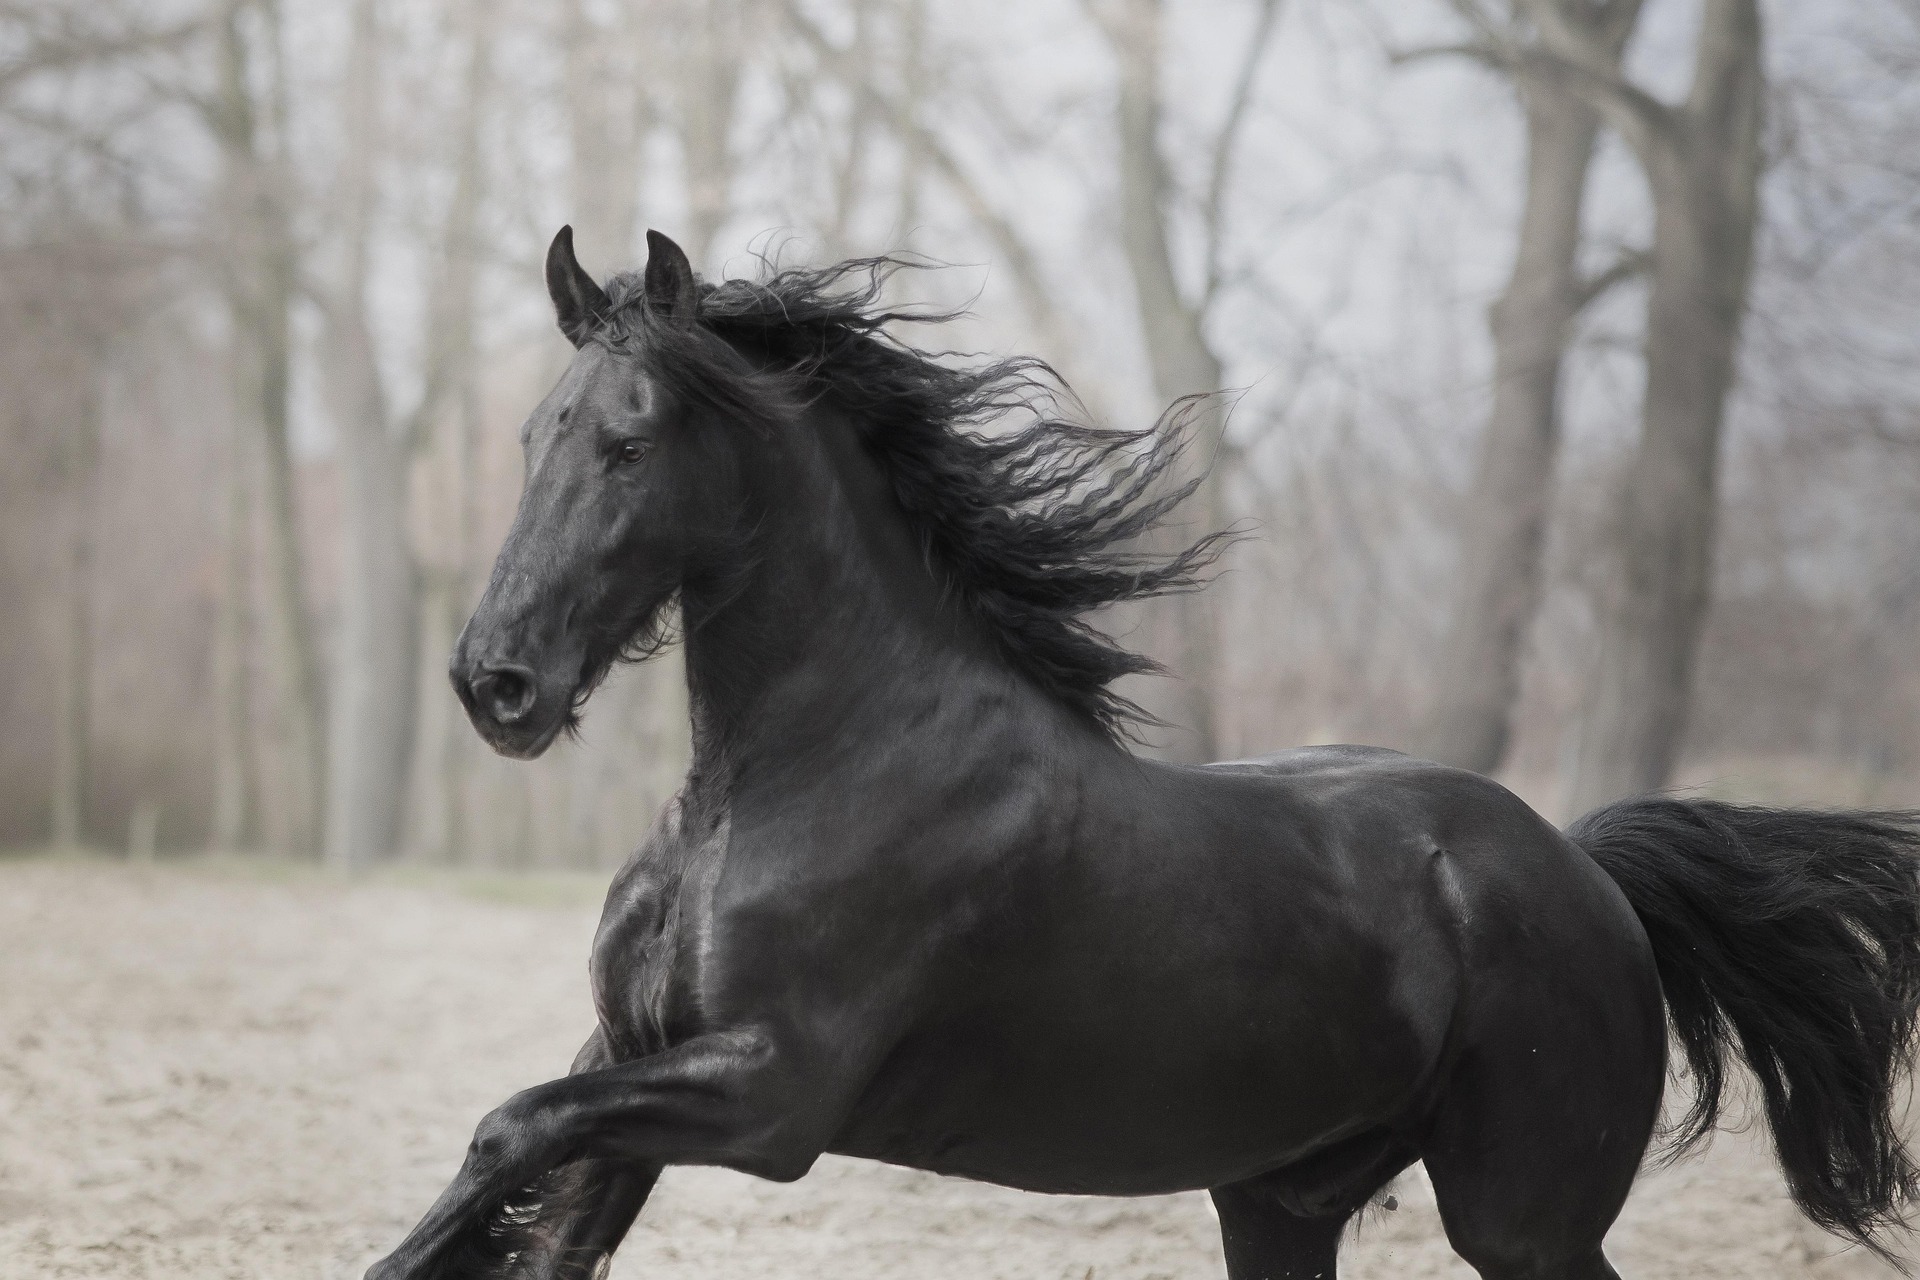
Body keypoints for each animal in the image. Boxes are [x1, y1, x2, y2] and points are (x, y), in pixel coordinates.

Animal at [368, 226, 1920, 1280]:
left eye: (628, 444)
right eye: (535, 434)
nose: (495, 681)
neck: (798, 775)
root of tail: (1583, 869)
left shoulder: (769, 1091)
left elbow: (508, 1129)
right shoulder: (636, 1056)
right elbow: (522, 1183)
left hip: (1521, 1215)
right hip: (1280, 1199)